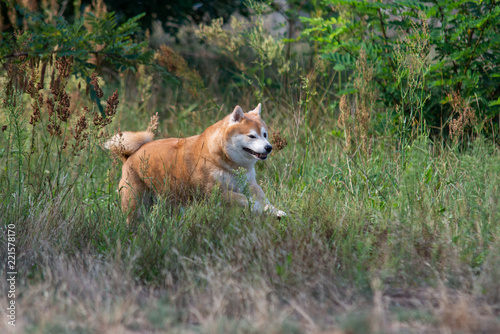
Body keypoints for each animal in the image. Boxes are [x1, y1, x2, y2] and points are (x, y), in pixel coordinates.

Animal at [105, 103, 286, 224]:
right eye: (252, 136)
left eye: (265, 134)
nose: (269, 147)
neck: (224, 161)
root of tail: (130, 155)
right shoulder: (216, 192)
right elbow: (244, 199)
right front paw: (257, 208)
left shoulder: (250, 185)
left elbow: (264, 200)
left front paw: (276, 212)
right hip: (135, 203)